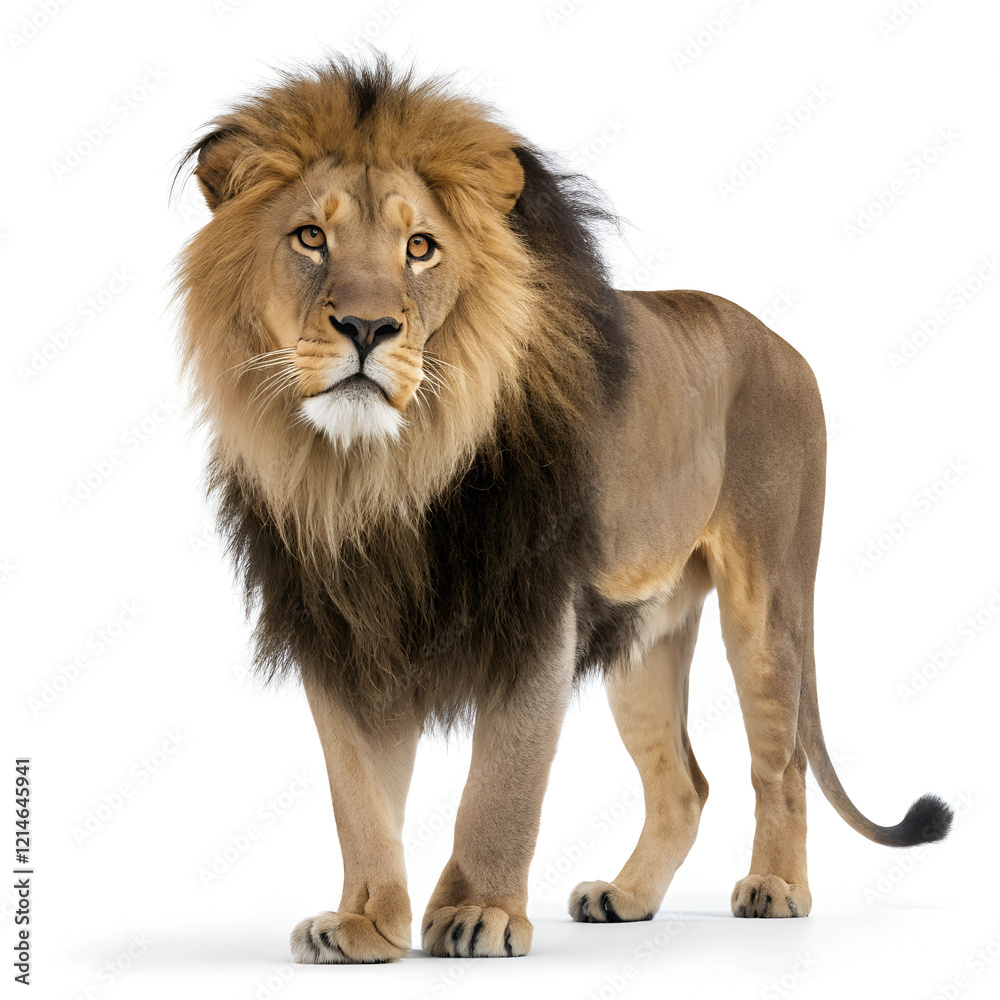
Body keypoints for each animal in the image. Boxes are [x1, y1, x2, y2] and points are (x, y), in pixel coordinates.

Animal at [174, 56, 952, 962]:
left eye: (419, 247)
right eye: (309, 238)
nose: (367, 327)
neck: (380, 473)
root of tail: (782, 342)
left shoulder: (537, 610)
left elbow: (501, 784)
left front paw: (479, 914)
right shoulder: (344, 628)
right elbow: (359, 795)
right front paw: (365, 923)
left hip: (769, 603)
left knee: (781, 758)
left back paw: (776, 888)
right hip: (646, 633)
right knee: (684, 783)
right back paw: (627, 897)